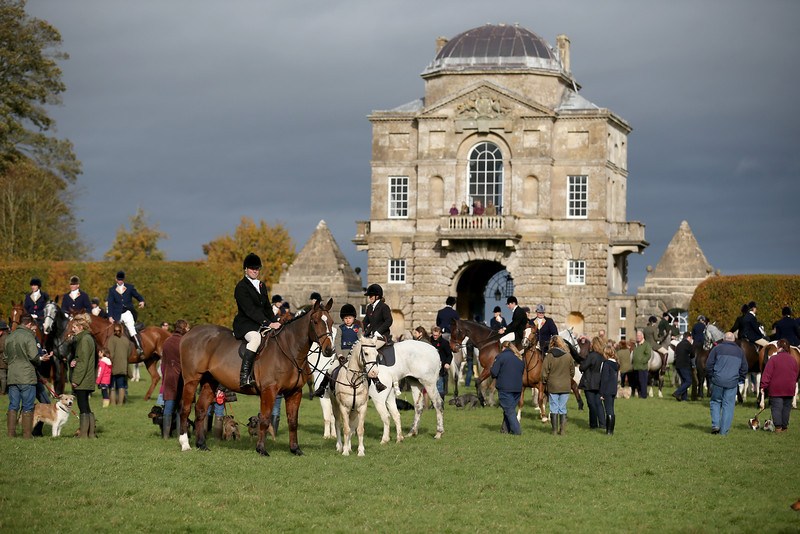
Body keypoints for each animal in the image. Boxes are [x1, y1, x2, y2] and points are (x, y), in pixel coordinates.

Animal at [178, 300, 334, 458]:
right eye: (315, 322)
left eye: (332, 322)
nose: (329, 350)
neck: (288, 350)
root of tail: (190, 333)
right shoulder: (268, 391)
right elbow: (264, 420)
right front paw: (261, 449)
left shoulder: (294, 392)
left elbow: (293, 421)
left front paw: (295, 449)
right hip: (191, 380)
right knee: (185, 409)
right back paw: (185, 444)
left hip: (210, 382)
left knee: (200, 410)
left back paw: (201, 444)